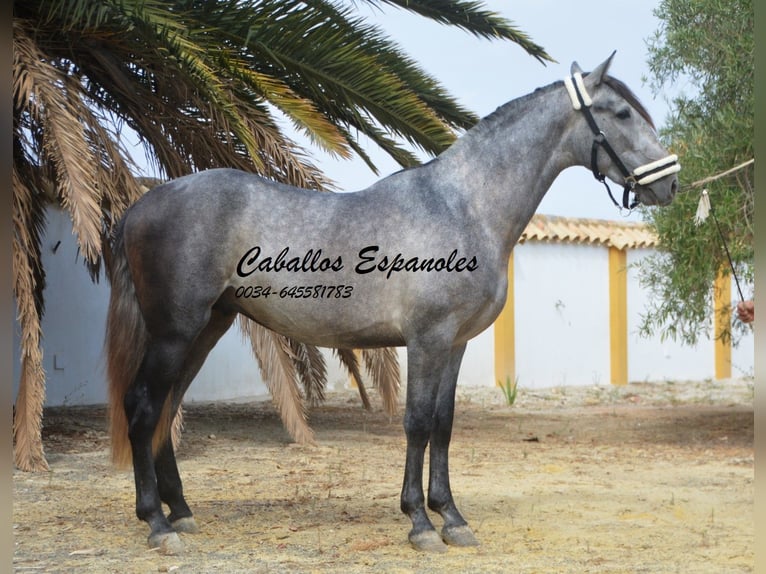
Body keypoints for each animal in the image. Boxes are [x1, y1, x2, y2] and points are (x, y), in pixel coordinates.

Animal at [106, 56, 680, 556]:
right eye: (622, 113)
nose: (671, 182)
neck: (463, 206)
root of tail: (142, 205)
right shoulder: (427, 339)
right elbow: (417, 423)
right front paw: (421, 523)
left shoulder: (455, 344)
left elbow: (444, 424)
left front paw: (452, 517)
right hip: (175, 332)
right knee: (144, 406)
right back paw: (157, 524)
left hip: (208, 328)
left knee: (168, 408)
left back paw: (181, 512)